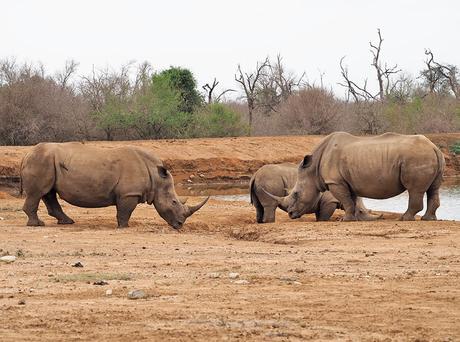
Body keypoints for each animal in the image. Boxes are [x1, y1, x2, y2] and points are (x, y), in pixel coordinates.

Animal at [20, 143, 208, 228]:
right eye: (174, 202)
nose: (180, 224)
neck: (156, 178)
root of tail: (26, 154)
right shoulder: (129, 193)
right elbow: (125, 211)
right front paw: (124, 227)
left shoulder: (127, 193)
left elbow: (122, 211)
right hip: (41, 161)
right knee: (38, 193)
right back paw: (37, 224)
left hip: (46, 162)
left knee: (48, 192)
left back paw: (67, 222)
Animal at [266, 131, 446, 222]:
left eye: (296, 194)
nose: (290, 214)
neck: (312, 170)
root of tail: (434, 146)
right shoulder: (346, 181)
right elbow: (351, 200)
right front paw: (351, 218)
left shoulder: (335, 182)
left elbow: (346, 200)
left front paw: (344, 220)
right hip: (430, 156)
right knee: (433, 188)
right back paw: (428, 219)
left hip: (416, 158)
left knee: (415, 190)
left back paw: (404, 219)